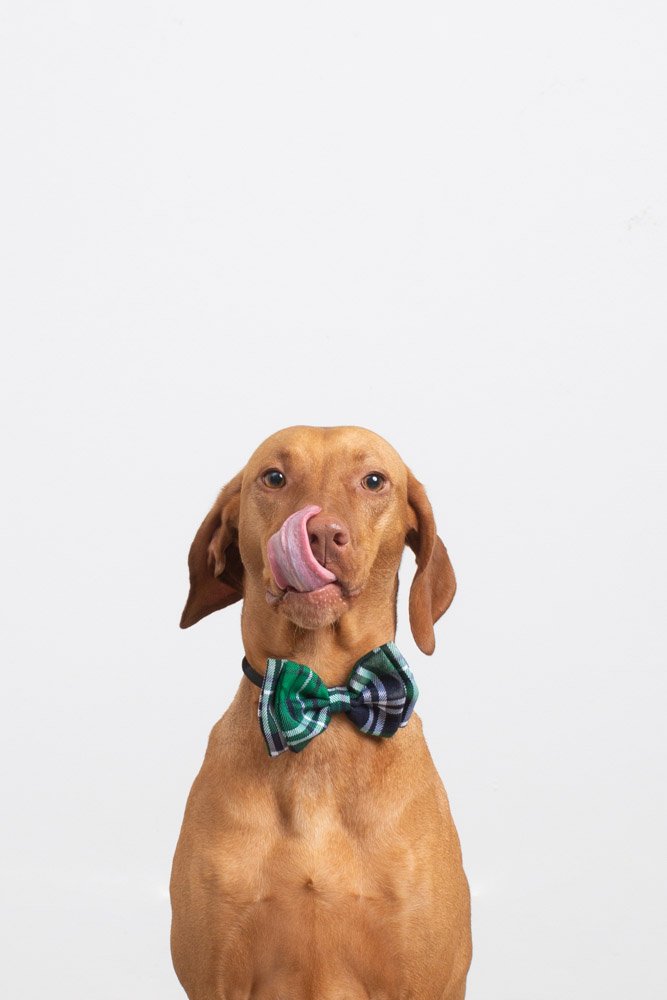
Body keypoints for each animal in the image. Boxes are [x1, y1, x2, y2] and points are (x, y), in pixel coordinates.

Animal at [170, 425, 471, 999]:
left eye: (374, 480)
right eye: (274, 477)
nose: (320, 533)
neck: (323, 702)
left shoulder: (424, 977)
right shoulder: (215, 974)